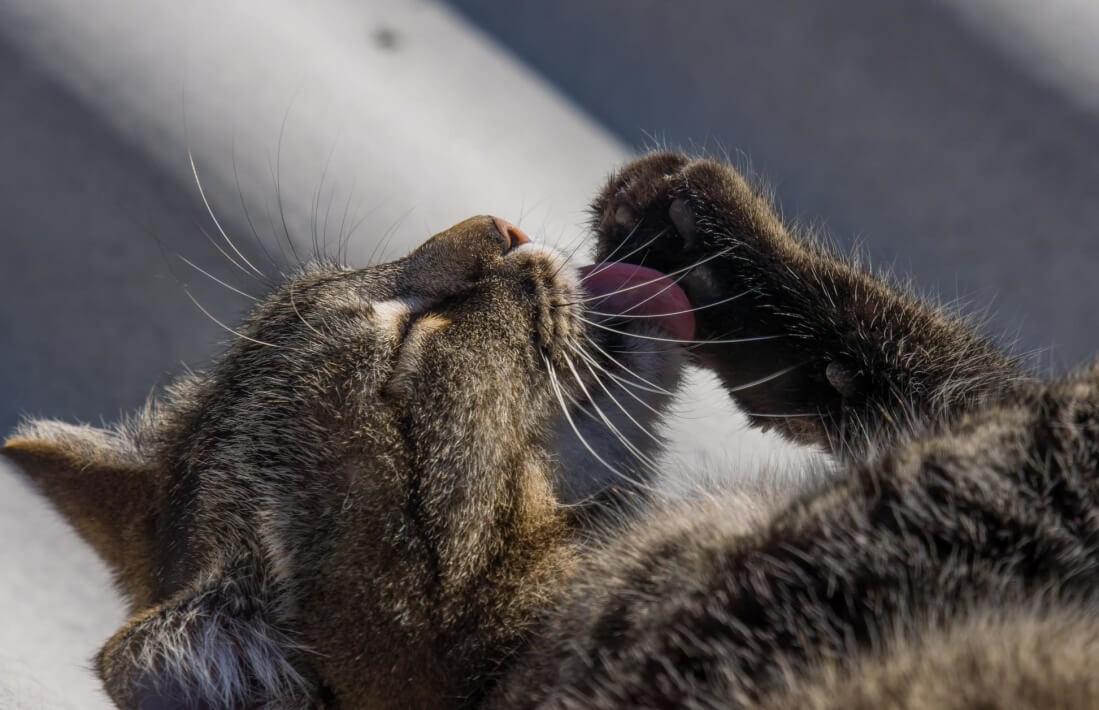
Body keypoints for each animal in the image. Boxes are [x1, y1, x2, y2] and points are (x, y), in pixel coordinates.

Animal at [4, 152, 1094, 707]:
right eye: (410, 339)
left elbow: (960, 375)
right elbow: (1041, 406)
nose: (495, 227)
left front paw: (718, 249)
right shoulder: (950, 507)